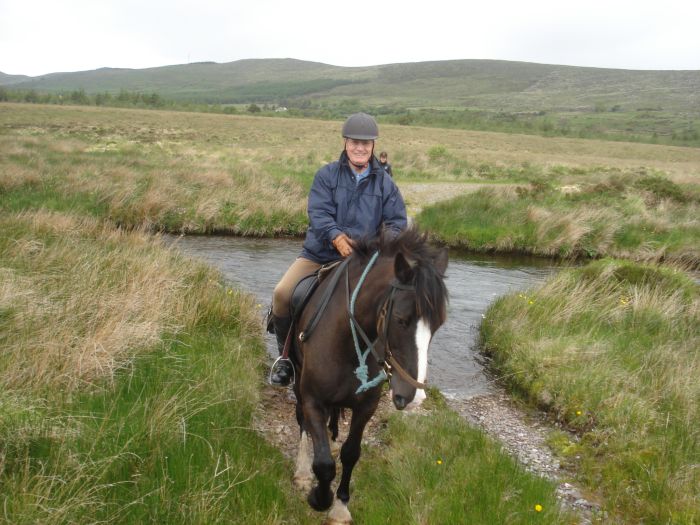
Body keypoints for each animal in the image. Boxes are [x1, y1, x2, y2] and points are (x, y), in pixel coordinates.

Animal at [288, 227, 448, 520]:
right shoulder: (313, 398)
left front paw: (340, 508)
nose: (414, 398)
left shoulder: (366, 407)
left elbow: (351, 453)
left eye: (438, 325)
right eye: (401, 319)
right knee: (301, 419)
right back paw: (303, 470)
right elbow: (324, 463)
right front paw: (318, 497)